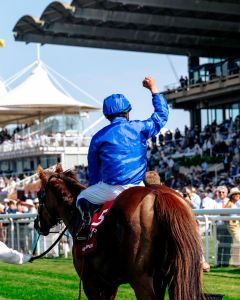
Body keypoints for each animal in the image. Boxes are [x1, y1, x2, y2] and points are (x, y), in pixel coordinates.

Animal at [36, 165, 205, 298]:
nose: (37, 224)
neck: (76, 215)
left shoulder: (92, 282)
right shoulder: (111, 283)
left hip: (141, 279)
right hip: (172, 275)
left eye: (39, 195)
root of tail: (158, 195)